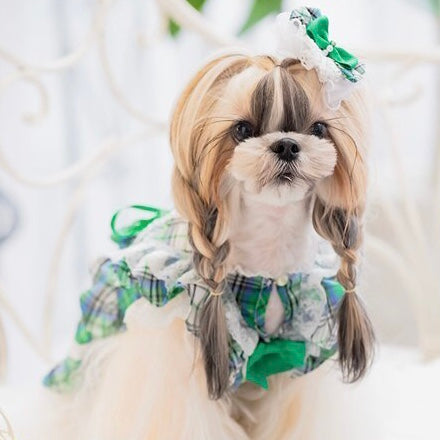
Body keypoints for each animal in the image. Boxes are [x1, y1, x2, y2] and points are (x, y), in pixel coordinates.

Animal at [20, 6, 374, 440]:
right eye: (243, 129)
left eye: (319, 128)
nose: (287, 144)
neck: (265, 266)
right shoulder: (172, 348)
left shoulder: (292, 358)